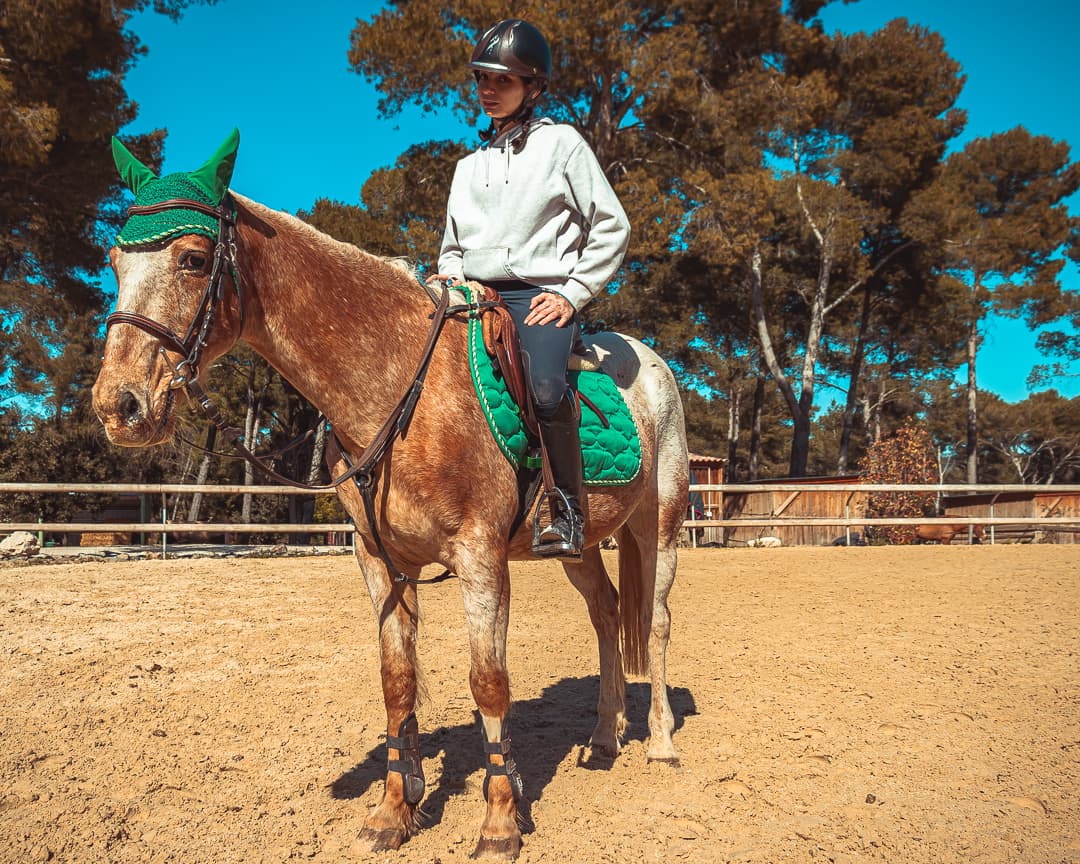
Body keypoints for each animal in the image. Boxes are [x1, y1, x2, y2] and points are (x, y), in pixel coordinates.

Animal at [92, 135, 689, 859]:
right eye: (115, 261)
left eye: (193, 258)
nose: (119, 406)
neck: (400, 386)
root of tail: (650, 364)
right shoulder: (381, 562)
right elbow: (396, 682)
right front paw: (392, 812)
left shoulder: (481, 559)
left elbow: (488, 684)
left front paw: (498, 823)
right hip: (579, 545)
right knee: (605, 613)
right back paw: (604, 738)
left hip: (660, 526)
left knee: (655, 621)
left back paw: (659, 742)